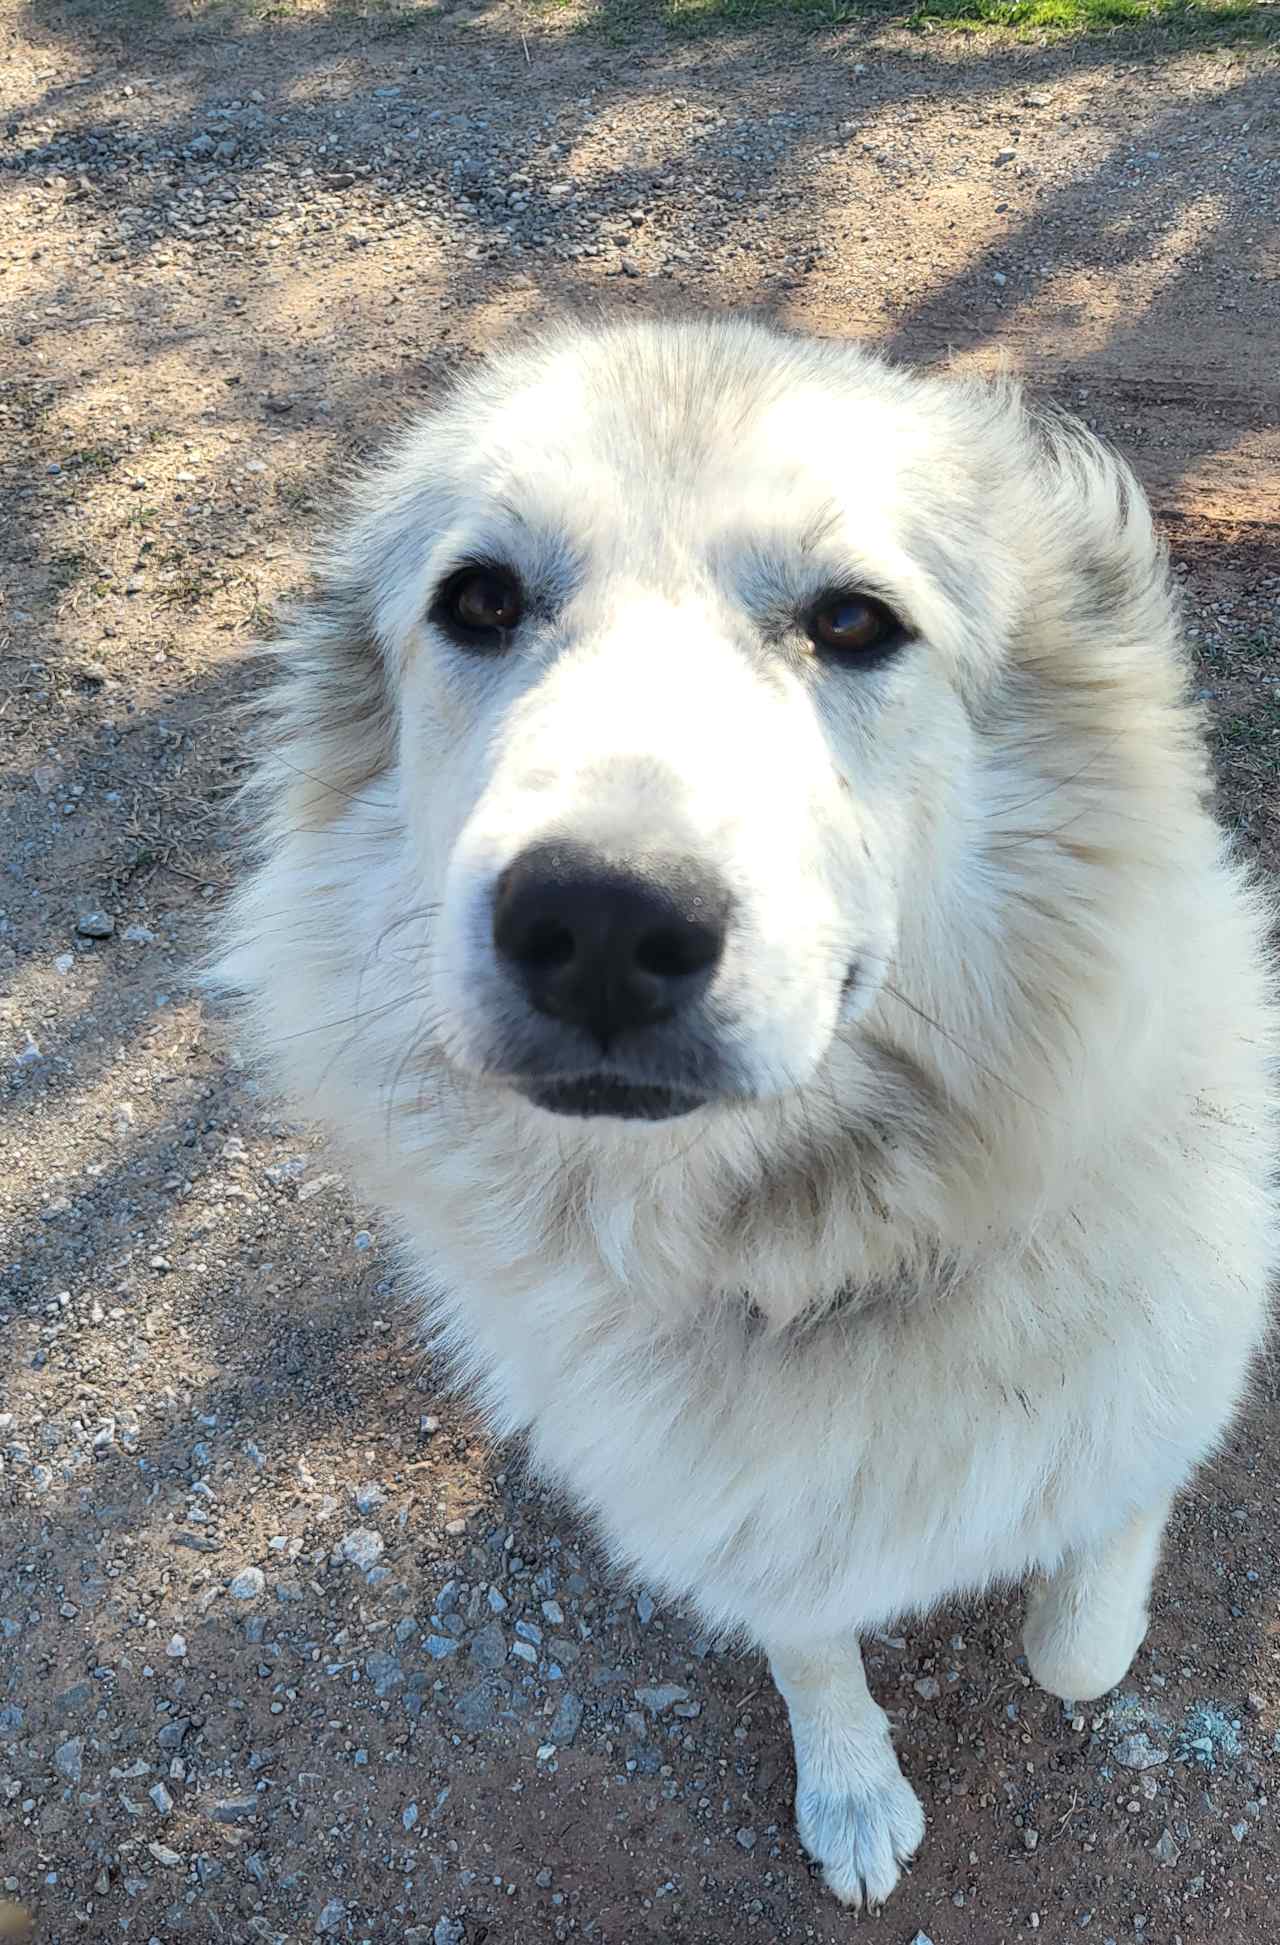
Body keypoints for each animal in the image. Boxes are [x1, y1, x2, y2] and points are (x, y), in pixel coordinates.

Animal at [213, 315, 1268, 1898]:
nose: (597, 919)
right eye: (480, 601)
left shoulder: (1153, 1421)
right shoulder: (741, 1528)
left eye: (852, 621)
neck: (808, 1256)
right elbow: (809, 1652)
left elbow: (1080, 1644)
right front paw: (852, 1793)